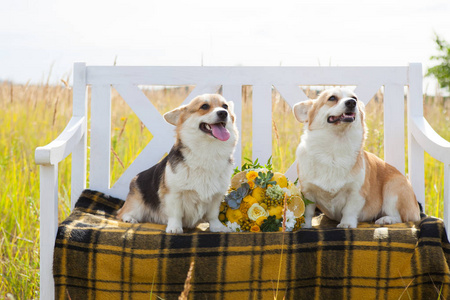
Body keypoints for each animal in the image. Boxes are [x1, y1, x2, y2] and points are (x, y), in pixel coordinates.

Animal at [118, 93, 239, 232]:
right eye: (204, 106)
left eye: (225, 106)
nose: (223, 113)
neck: (208, 150)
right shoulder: (174, 193)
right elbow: (176, 213)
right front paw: (175, 228)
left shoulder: (217, 195)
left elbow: (213, 214)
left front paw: (218, 227)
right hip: (136, 204)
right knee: (122, 213)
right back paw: (129, 218)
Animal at [294, 88, 420, 229]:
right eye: (332, 98)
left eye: (355, 98)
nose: (351, 102)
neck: (334, 149)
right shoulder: (308, 192)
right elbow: (308, 212)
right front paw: (305, 226)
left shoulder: (356, 191)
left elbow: (349, 210)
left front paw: (346, 224)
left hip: (393, 189)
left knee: (400, 217)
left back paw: (385, 219)